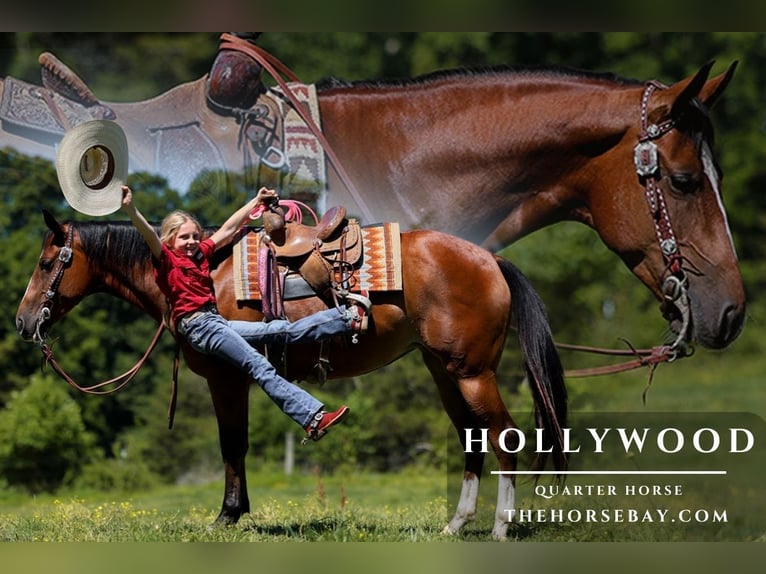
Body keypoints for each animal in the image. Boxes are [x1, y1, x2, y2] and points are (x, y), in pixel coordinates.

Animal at [15, 210, 568, 540]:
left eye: (45, 263)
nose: (22, 323)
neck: (206, 274)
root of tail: (490, 259)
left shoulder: (227, 377)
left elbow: (232, 445)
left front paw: (227, 514)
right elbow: (235, 445)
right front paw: (237, 511)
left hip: (473, 373)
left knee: (504, 436)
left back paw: (500, 526)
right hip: (444, 371)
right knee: (471, 439)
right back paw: (456, 524)